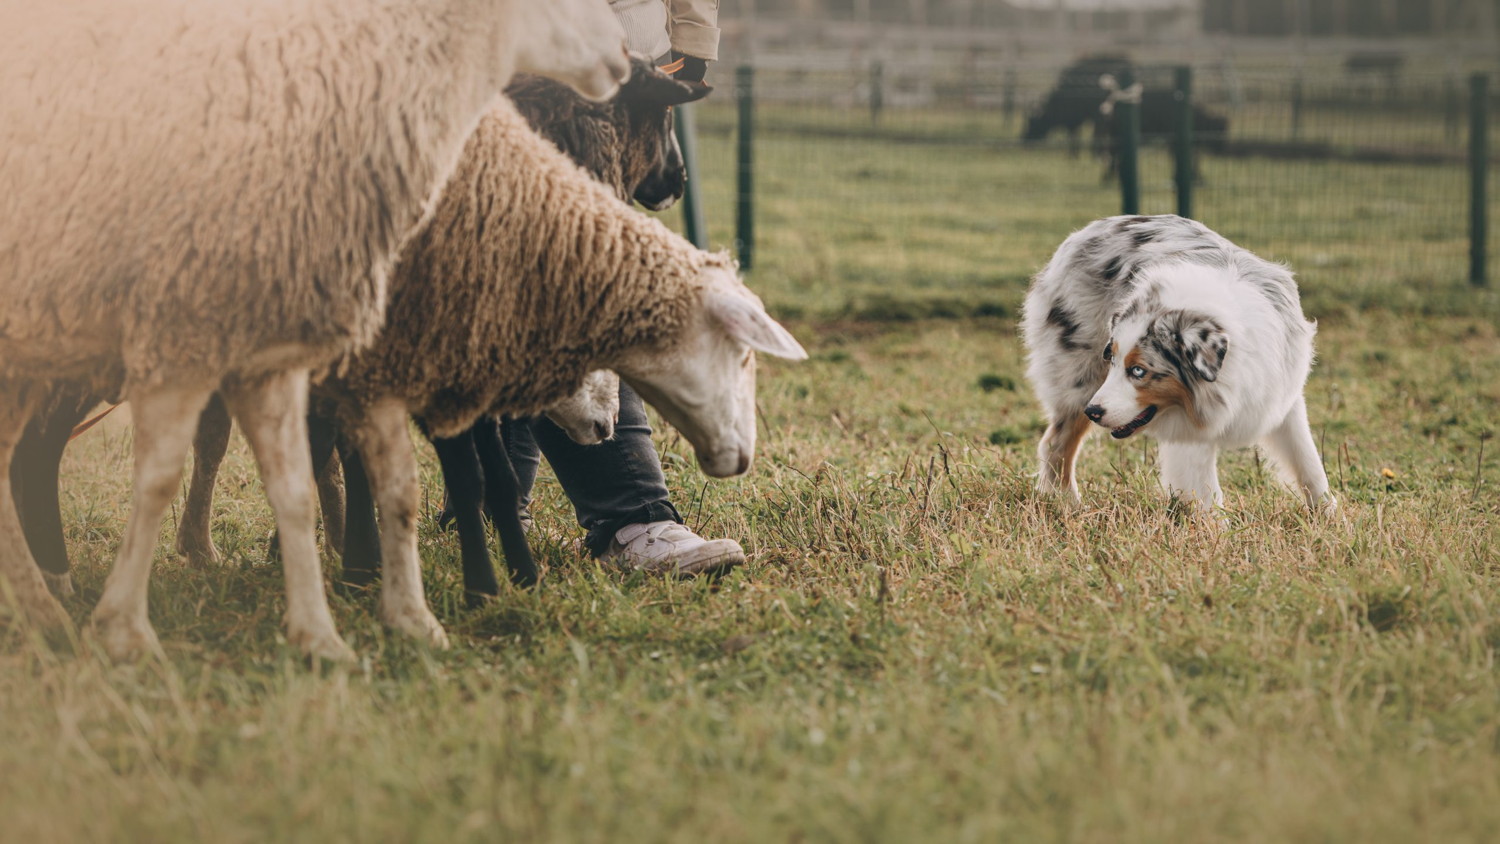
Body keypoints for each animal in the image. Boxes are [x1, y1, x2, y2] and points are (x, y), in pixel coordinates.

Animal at [1026, 214, 1332, 515]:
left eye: (1138, 371)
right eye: (1111, 360)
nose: (1093, 411)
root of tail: (1078, 236)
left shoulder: (1280, 398)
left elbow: (1309, 464)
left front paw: (1329, 518)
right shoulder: (1189, 432)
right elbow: (1207, 494)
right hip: (1080, 382)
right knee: (1055, 444)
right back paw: (1070, 506)